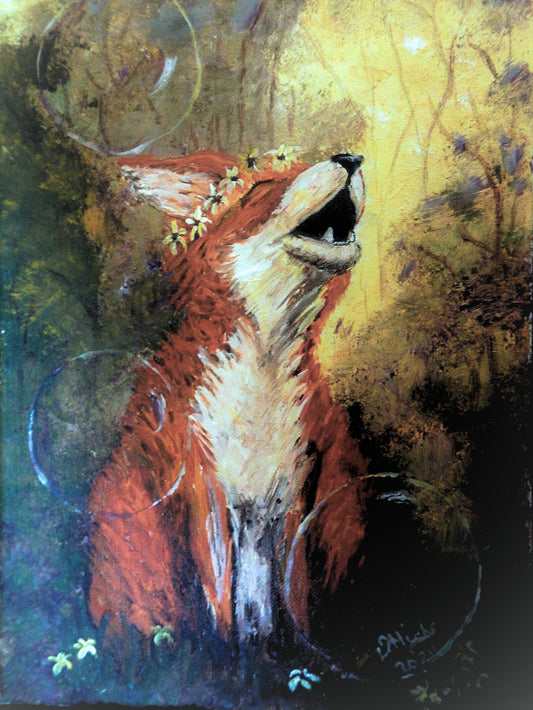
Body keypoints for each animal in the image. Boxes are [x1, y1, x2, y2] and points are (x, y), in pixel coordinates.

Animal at [88, 149, 369, 648]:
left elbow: (292, 600)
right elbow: (214, 597)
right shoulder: (201, 487)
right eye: (262, 188)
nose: (350, 157)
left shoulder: (299, 489)